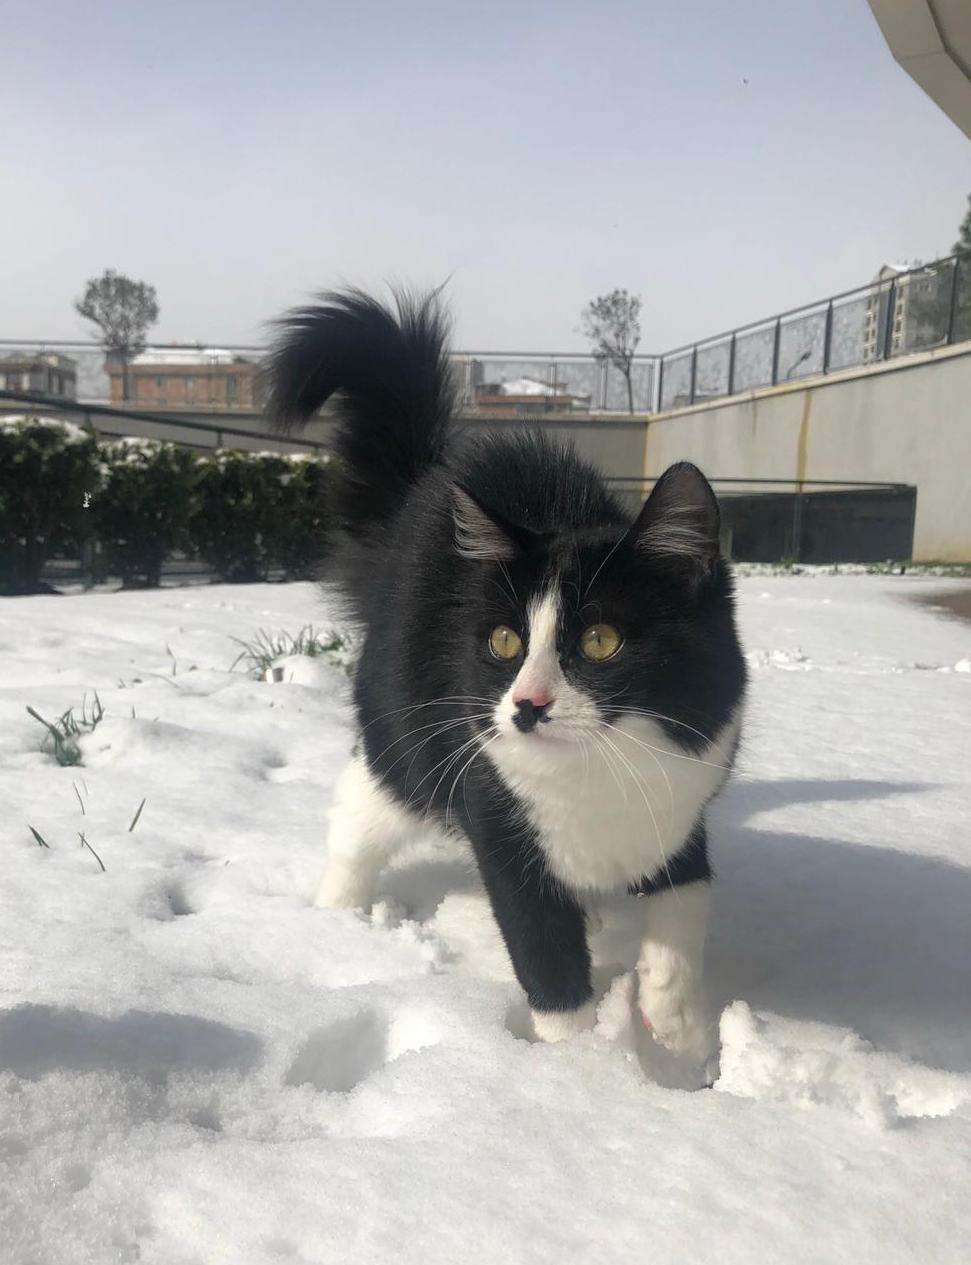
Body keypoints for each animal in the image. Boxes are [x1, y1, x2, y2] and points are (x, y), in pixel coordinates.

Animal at [269, 290, 748, 1062]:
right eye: (503, 640)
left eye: (601, 640)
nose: (526, 704)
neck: (601, 766)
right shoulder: (496, 816)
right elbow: (544, 951)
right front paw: (571, 1061)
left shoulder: (686, 782)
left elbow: (688, 892)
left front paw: (674, 1022)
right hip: (402, 736)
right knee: (361, 814)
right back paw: (337, 915)